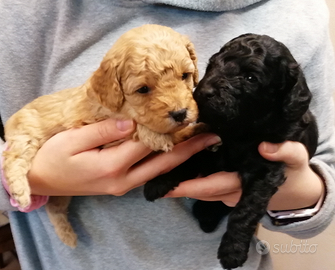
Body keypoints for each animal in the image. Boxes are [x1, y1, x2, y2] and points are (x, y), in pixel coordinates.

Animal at [1, 24, 200, 248]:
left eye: (185, 75)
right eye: (143, 89)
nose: (180, 113)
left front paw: (193, 129)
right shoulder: (96, 125)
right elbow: (133, 124)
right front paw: (156, 136)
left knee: (54, 207)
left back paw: (67, 235)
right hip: (25, 137)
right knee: (14, 160)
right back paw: (20, 193)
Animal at [143, 33, 318, 268]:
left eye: (250, 78)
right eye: (211, 65)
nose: (202, 92)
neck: (240, 129)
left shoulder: (264, 169)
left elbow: (245, 210)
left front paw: (232, 250)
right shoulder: (208, 145)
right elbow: (188, 160)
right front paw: (160, 181)